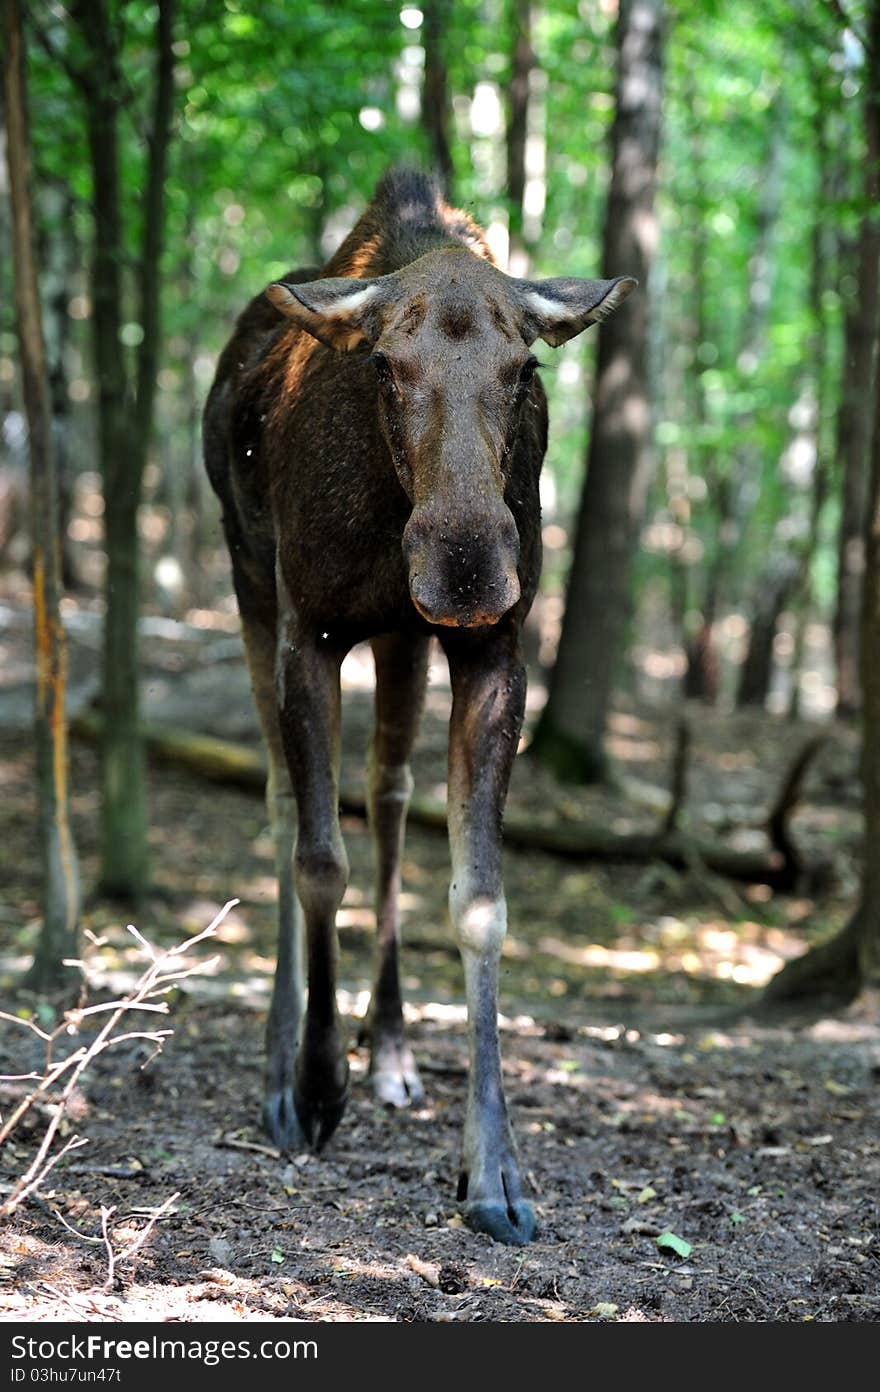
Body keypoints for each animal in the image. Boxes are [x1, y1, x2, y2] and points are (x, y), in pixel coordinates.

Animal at [203, 168, 634, 1247]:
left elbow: (479, 900)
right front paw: (316, 1085)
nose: (468, 558)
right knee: (284, 801)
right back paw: (280, 1069)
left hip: (402, 641)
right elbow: (320, 860)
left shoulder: (489, 649)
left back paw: (391, 1051)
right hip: (248, 581)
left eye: (521, 369)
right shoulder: (310, 631)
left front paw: (495, 1170)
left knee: (390, 791)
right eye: (387, 365)